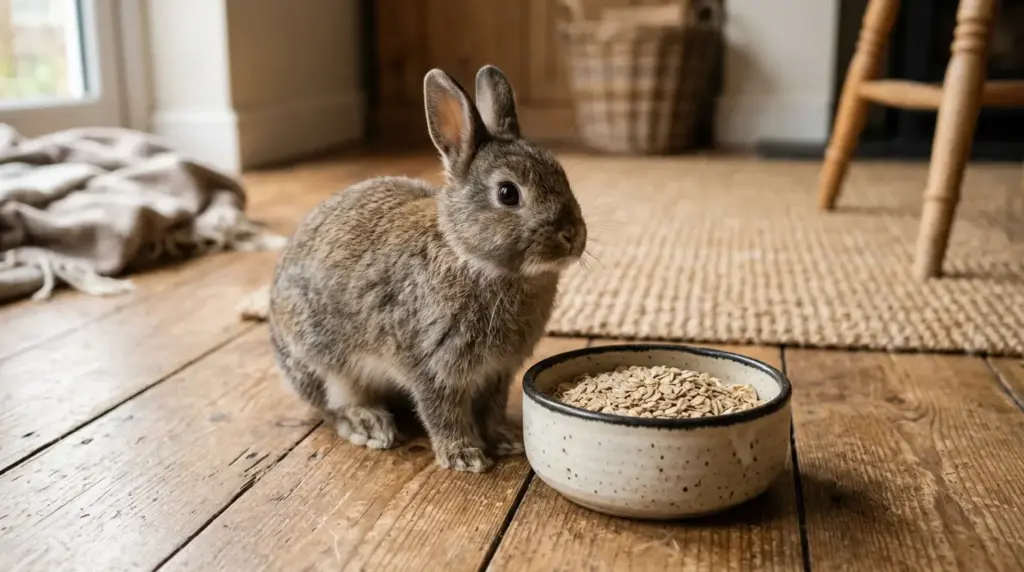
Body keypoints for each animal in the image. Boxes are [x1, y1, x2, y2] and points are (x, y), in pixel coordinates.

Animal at [267, 65, 587, 472]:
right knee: (331, 405)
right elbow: (442, 413)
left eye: (561, 174)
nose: (572, 235)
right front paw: (463, 456)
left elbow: (491, 409)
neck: (469, 255)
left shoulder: (497, 372)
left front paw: (505, 440)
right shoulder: (431, 364)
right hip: (323, 363)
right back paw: (368, 424)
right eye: (508, 194)